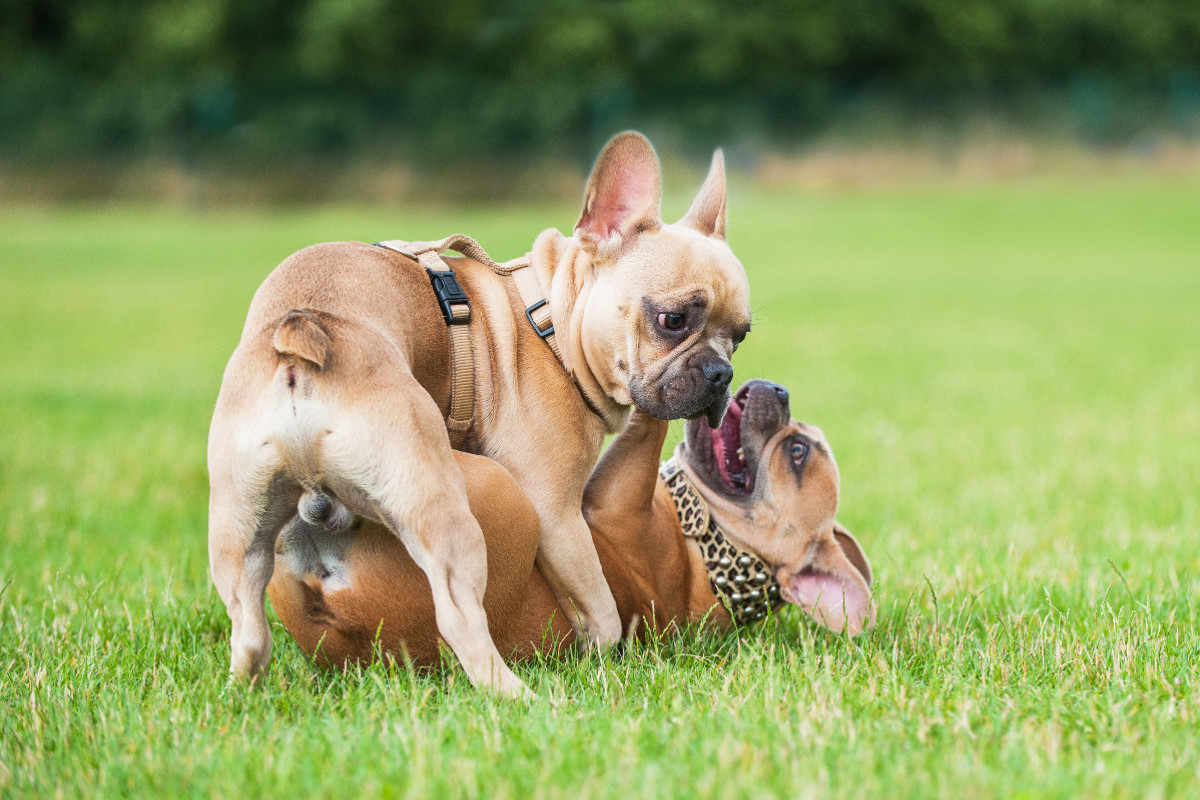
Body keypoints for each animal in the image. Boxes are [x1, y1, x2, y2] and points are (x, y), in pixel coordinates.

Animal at [207, 131, 748, 695]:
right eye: (672, 320)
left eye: (740, 336)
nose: (721, 373)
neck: (548, 320)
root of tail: (304, 336)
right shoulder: (557, 514)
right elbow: (599, 603)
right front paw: (603, 658)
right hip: (442, 509)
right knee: (460, 618)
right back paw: (518, 694)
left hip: (240, 525)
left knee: (247, 625)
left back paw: (242, 692)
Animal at [267, 379, 878, 666]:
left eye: (797, 453)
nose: (780, 390)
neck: (708, 547)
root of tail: (343, 614)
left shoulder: (614, 498)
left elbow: (647, 422)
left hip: (501, 494)